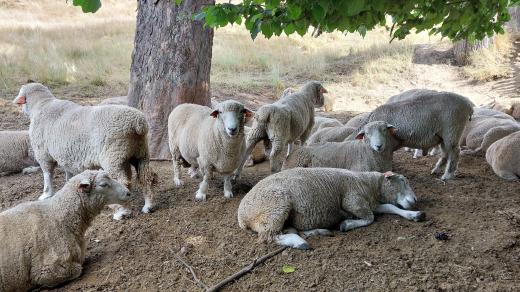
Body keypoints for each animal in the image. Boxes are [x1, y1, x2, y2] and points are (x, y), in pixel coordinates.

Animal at [12, 82, 154, 219]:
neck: (42, 105)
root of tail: (137, 123)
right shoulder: (66, 155)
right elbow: (68, 174)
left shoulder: (43, 153)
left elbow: (47, 175)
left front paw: (46, 194)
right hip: (140, 153)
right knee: (146, 178)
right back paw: (148, 206)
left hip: (114, 157)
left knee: (123, 181)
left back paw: (121, 212)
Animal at [238, 168, 424, 250]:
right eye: (404, 181)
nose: (415, 200)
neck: (370, 185)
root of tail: (241, 216)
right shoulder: (353, 201)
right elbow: (370, 218)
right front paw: (347, 224)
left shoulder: (370, 203)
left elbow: (390, 206)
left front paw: (414, 214)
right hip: (276, 206)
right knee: (269, 236)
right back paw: (300, 243)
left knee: (290, 229)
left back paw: (318, 232)